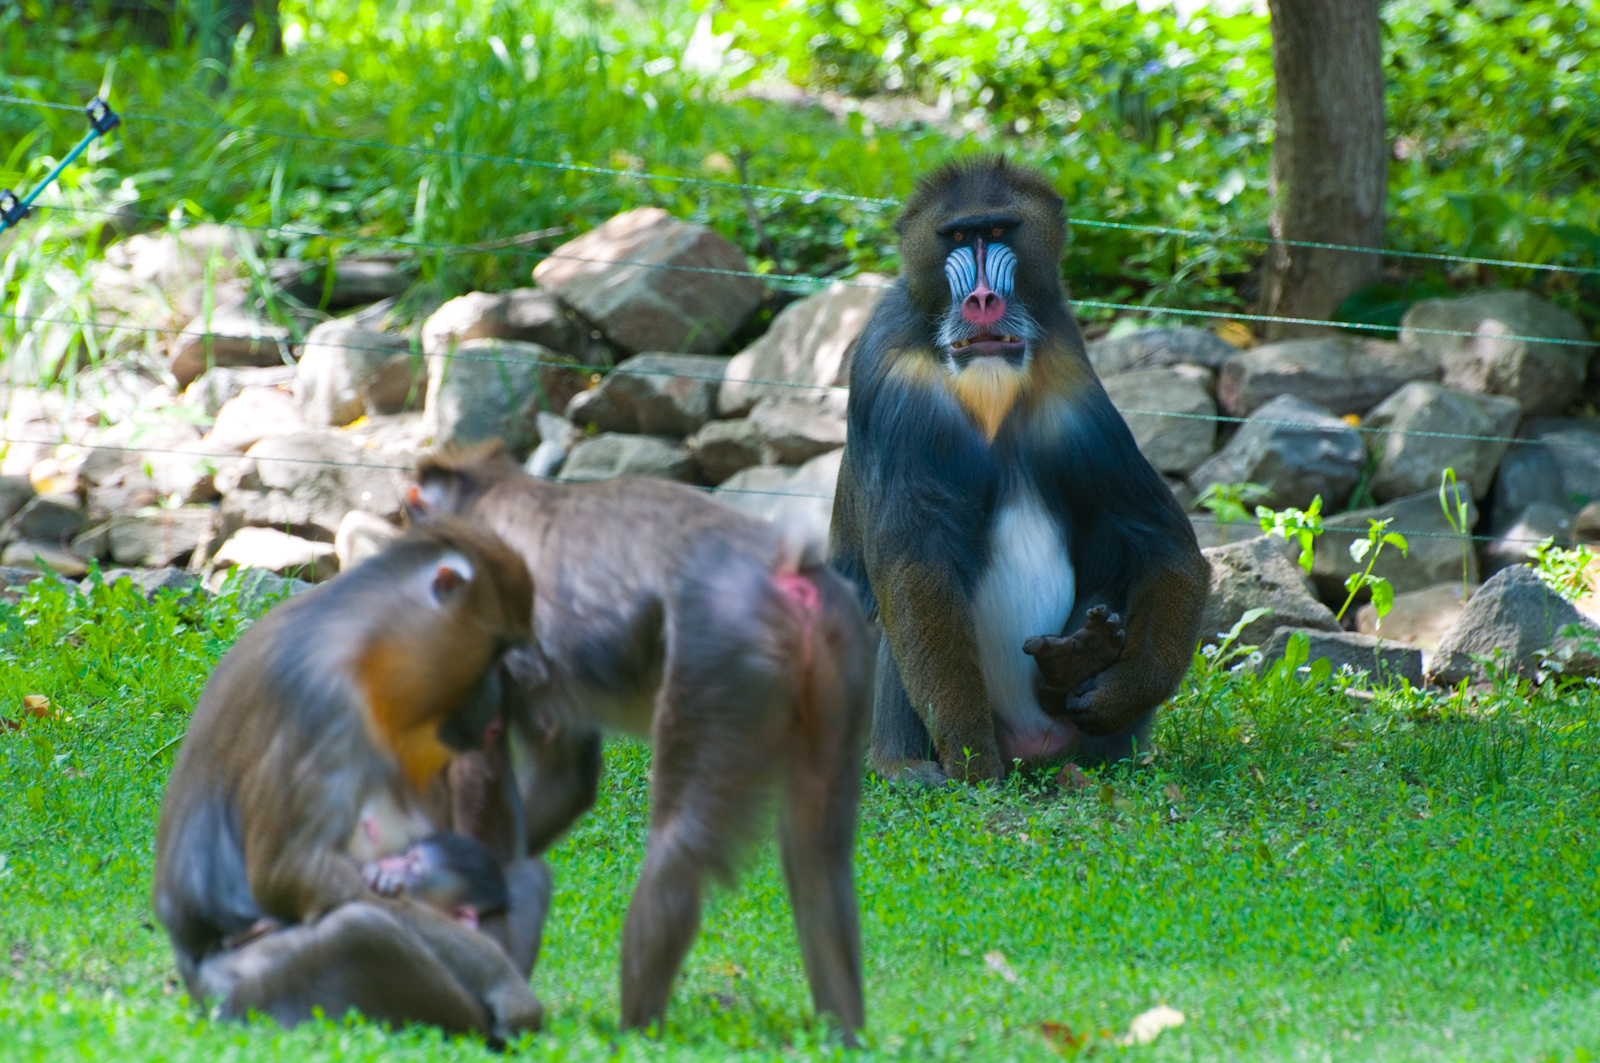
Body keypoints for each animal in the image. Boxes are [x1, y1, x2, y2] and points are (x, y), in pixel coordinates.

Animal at [152, 521, 550, 1037]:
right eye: (497, 647)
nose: (497, 705)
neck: (364, 646)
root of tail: (192, 969)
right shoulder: (320, 702)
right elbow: (295, 873)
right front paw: (504, 980)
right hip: (246, 994)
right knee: (360, 930)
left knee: (529, 871)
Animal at [406, 445, 870, 1037]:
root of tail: (786, 571)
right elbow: (565, 777)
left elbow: (484, 780)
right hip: (842, 661)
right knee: (819, 855)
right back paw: (846, 1033)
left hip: (714, 657)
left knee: (678, 848)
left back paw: (636, 1029)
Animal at [832, 160, 1203, 787]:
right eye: (960, 237)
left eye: (1000, 232)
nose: (982, 298)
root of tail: (1036, 752)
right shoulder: (895, 382)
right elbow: (915, 568)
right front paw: (973, 764)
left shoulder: (1075, 387)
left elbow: (1161, 544)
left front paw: (1116, 695)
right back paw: (901, 765)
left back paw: (1078, 663)